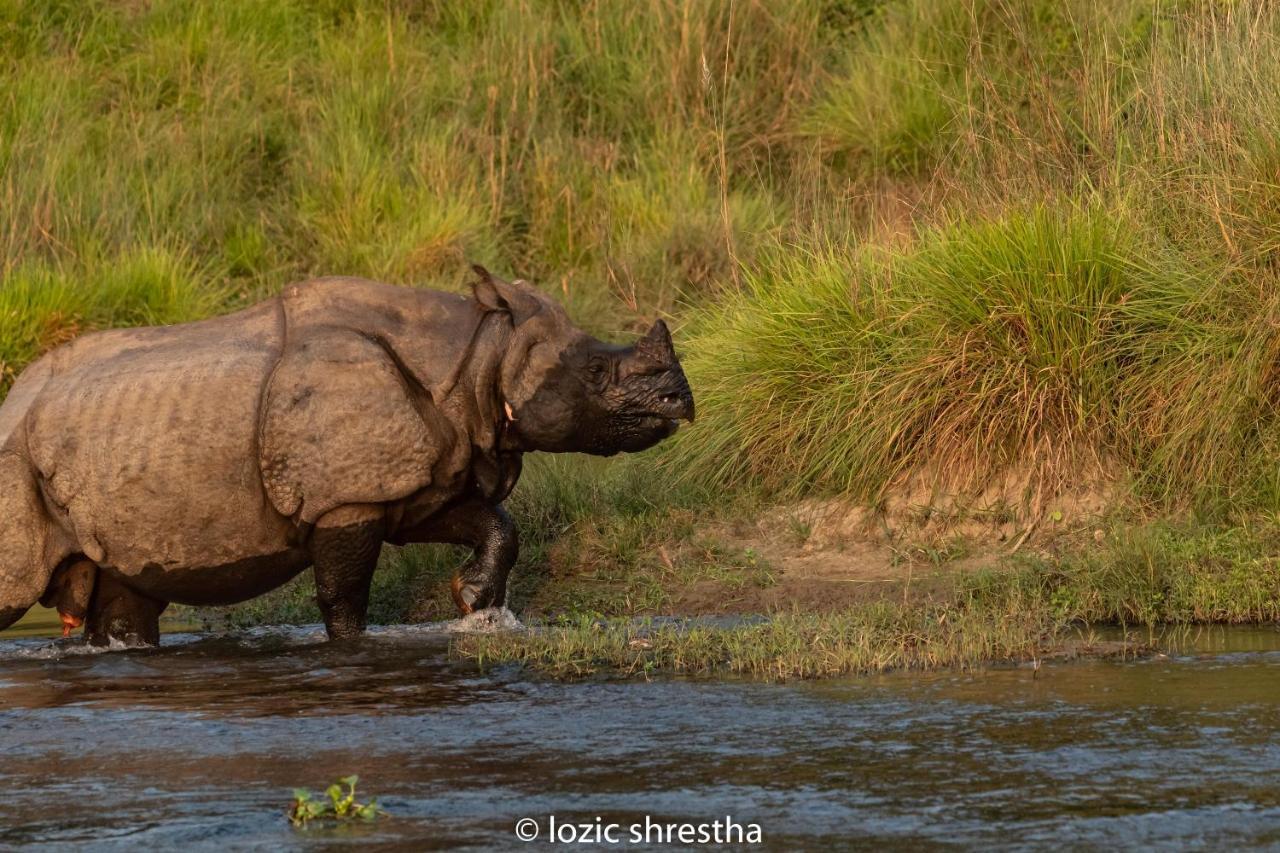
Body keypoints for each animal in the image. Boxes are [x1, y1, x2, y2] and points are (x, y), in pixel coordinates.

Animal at [0, 268, 691, 640]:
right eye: (596, 372)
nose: (680, 401)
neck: (477, 357)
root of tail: (14, 399)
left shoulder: (420, 480)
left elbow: (494, 523)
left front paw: (474, 602)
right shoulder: (347, 500)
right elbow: (343, 595)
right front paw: (355, 648)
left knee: (126, 597)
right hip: (11, 459)